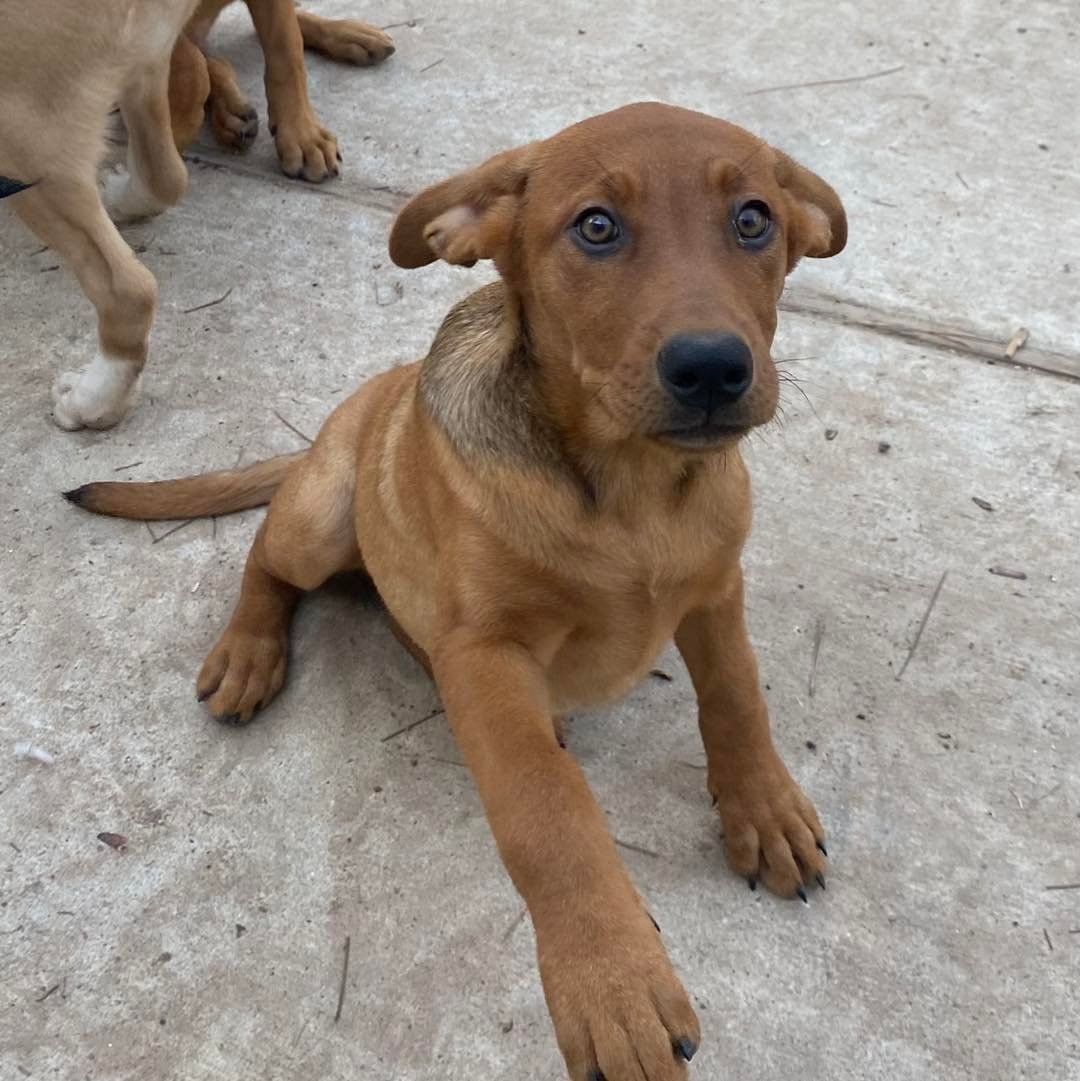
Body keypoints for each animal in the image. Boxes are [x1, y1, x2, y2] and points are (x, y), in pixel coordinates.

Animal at [67, 103, 847, 1081]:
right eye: (596, 227)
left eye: (754, 220)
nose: (712, 368)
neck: (633, 491)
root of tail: (333, 427)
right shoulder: (485, 652)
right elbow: (547, 810)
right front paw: (612, 980)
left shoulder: (712, 590)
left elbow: (738, 696)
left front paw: (766, 810)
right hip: (322, 511)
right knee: (266, 557)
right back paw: (248, 651)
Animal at [172, 0, 397, 181]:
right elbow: (194, 67)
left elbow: (288, 48)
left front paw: (304, 135)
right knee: (209, 59)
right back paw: (230, 113)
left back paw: (349, 33)